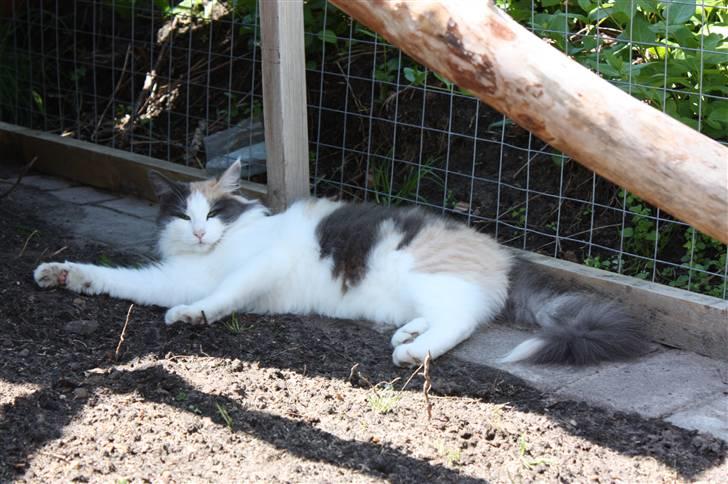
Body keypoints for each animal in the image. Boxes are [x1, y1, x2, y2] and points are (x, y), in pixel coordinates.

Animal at [35, 161, 644, 364]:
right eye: (186, 216)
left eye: (216, 212)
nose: (203, 231)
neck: (216, 251)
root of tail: (503, 254)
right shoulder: (171, 279)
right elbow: (115, 280)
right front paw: (61, 273)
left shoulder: (258, 266)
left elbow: (220, 296)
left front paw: (195, 316)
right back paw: (407, 334)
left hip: (430, 278)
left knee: (461, 324)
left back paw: (413, 352)